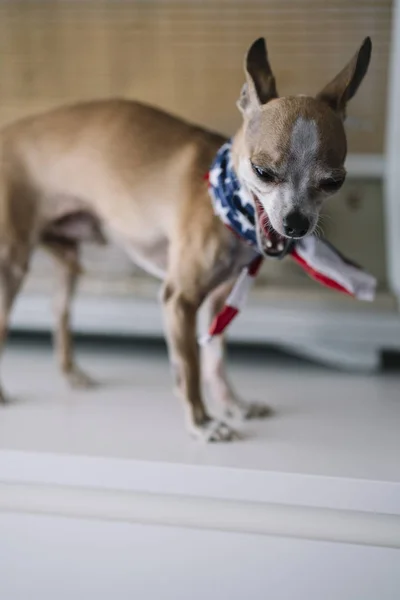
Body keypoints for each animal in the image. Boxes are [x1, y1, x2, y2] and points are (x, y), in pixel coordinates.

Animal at [0, 38, 372, 440]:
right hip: (11, 268)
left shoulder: (217, 303)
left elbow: (215, 361)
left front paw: (233, 405)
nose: (296, 224)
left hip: (68, 264)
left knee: (60, 314)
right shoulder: (179, 300)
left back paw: (72, 374)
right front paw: (203, 422)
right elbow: (190, 369)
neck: (226, 205)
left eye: (333, 182)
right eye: (262, 172)